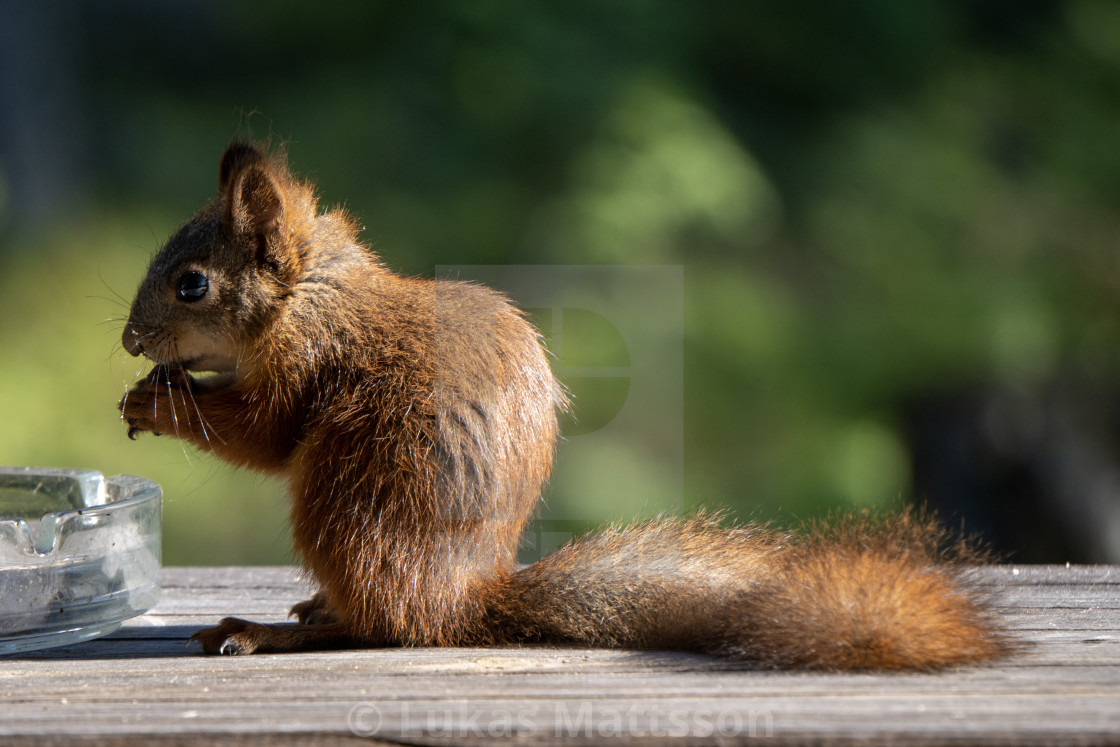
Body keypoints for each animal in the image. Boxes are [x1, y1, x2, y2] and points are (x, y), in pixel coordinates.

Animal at [118, 143, 1012, 667]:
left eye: (191, 284)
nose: (129, 340)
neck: (313, 291)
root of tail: (463, 596)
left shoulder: (310, 358)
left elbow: (265, 433)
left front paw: (156, 402)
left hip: (345, 504)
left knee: (386, 624)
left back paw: (271, 628)